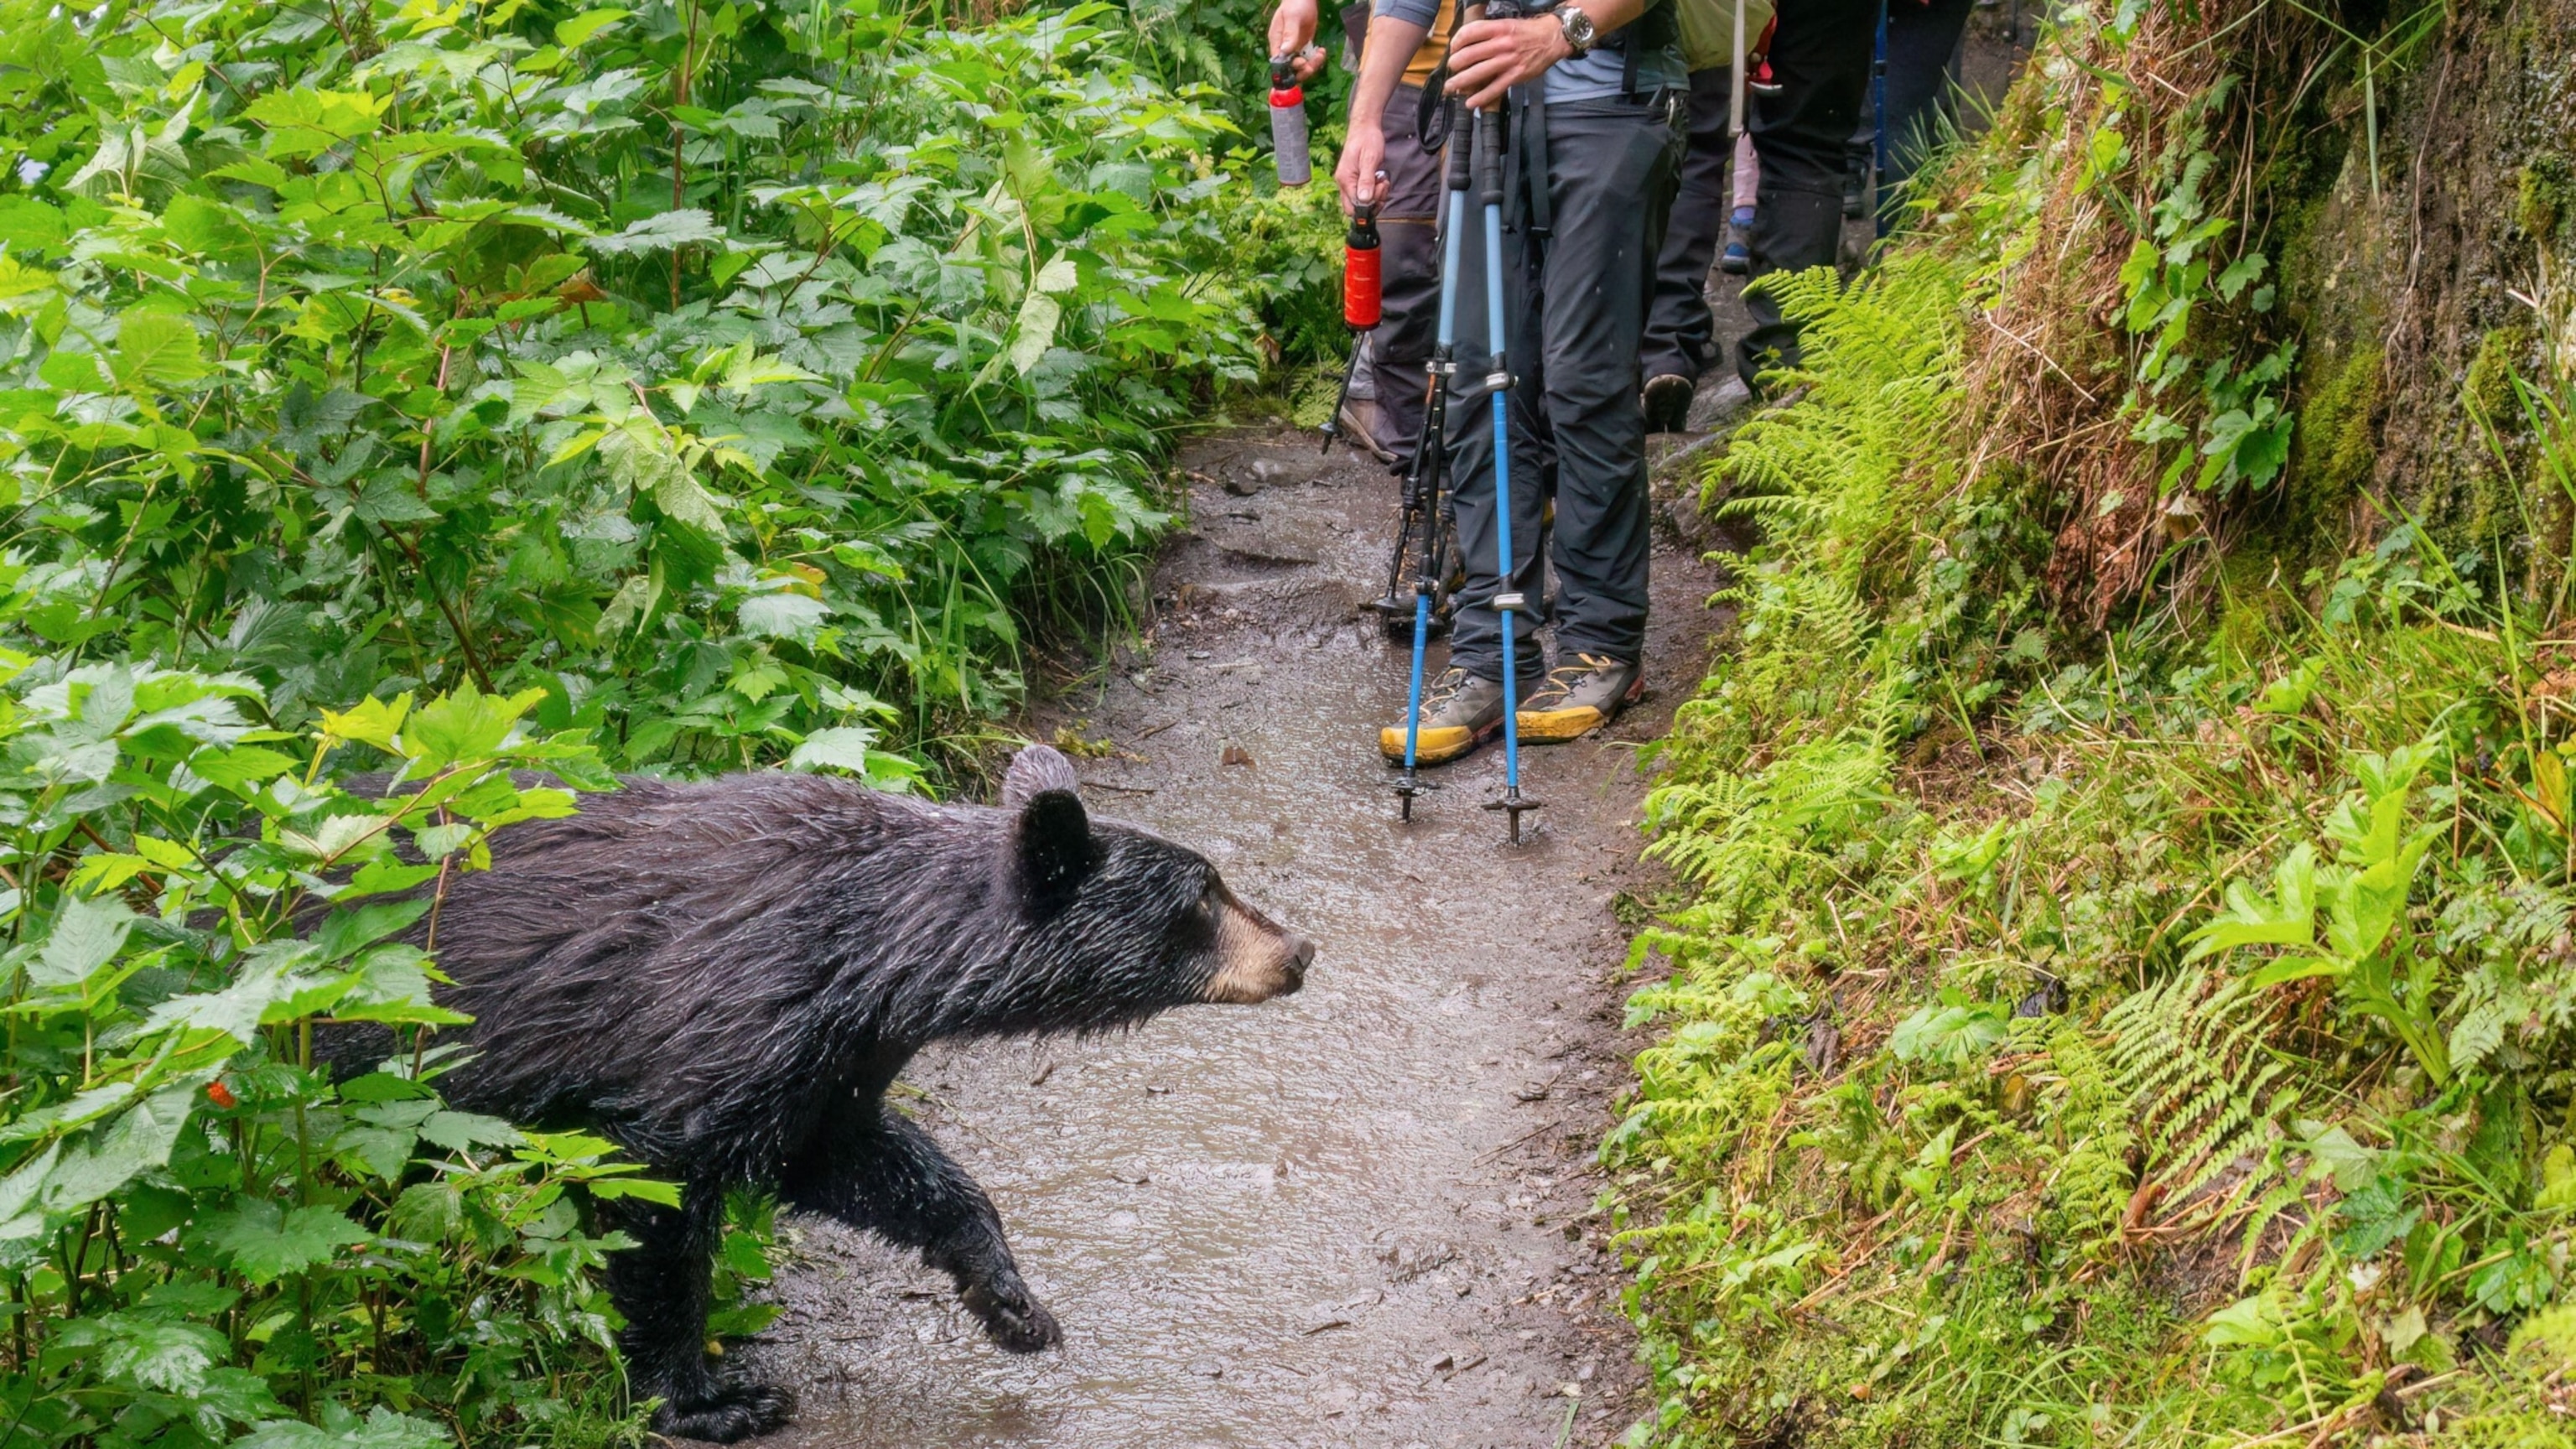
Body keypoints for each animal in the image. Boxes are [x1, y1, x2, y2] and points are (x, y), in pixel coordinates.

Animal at [366, 744, 1312, 1441]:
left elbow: (866, 1162)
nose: (1300, 950)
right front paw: (710, 1400)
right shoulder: (723, 1018)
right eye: (1203, 894)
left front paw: (1013, 1304)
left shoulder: (829, 1058)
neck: (863, 951)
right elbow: (658, 1197)